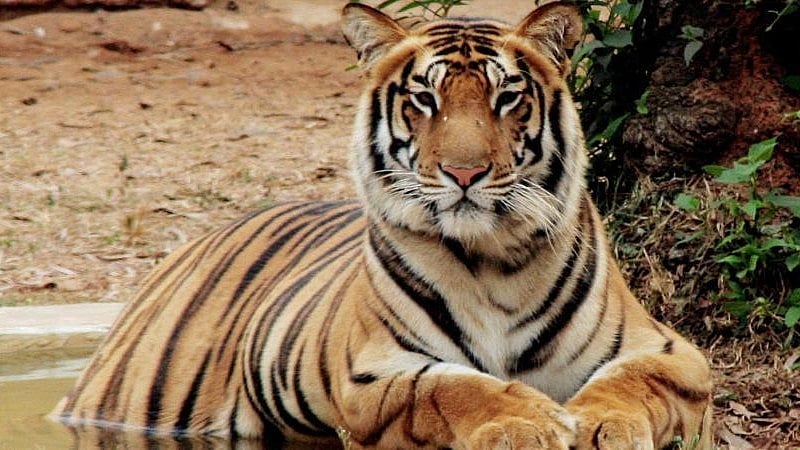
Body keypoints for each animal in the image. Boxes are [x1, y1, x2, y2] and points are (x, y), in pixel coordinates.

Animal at [52, 2, 713, 449]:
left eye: (506, 98)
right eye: (424, 99)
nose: (464, 172)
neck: (493, 257)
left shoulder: (673, 352)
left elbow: (630, 383)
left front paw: (603, 423)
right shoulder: (373, 375)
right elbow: (454, 387)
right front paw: (526, 421)